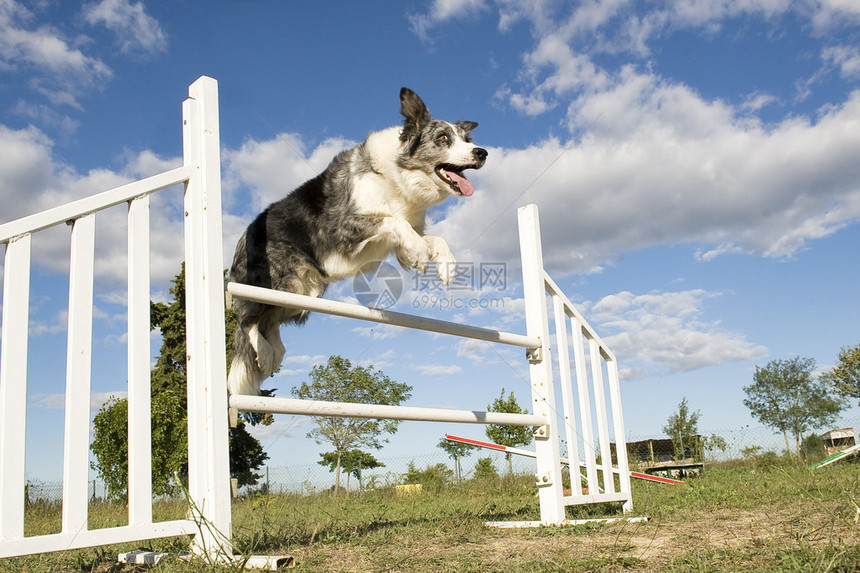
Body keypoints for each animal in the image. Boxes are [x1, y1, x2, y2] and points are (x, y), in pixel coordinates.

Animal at [227, 88, 484, 394]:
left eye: (467, 139)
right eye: (443, 138)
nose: (482, 152)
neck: (397, 175)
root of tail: (243, 238)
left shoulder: (405, 234)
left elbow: (432, 238)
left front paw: (446, 265)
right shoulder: (343, 226)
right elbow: (393, 221)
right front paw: (421, 256)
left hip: (301, 292)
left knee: (270, 324)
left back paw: (272, 353)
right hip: (272, 283)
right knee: (248, 320)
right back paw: (264, 352)